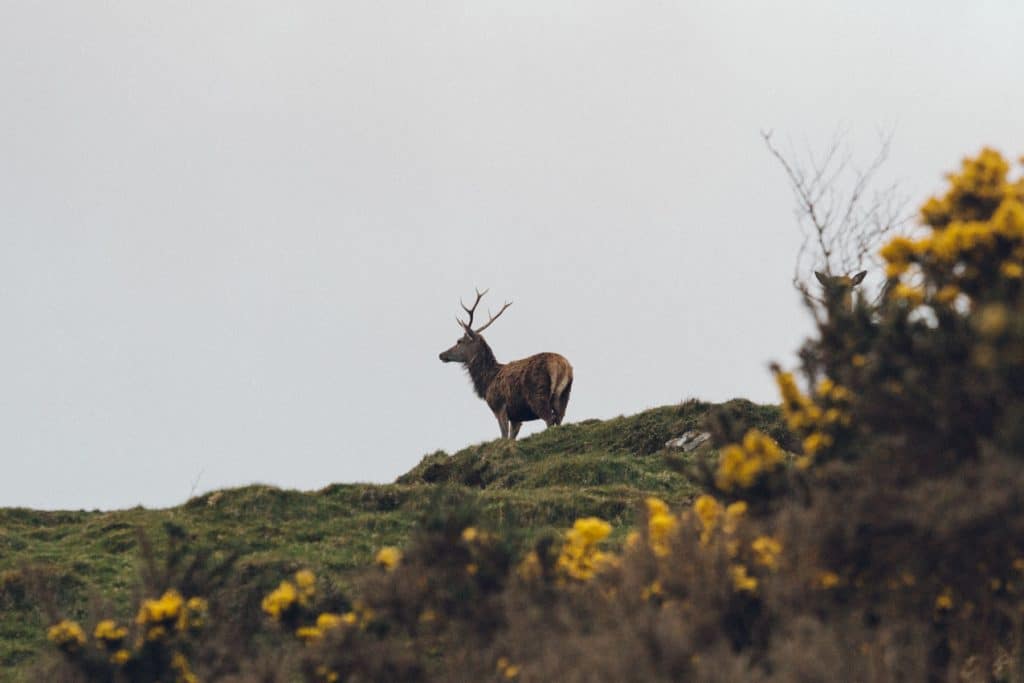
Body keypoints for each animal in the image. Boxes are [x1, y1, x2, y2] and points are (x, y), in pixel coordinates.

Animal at [439, 289, 574, 441]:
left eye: (459, 341)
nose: (441, 355)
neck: (486, 382)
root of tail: (562, 365)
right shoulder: (517, 417)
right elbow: (511, 438)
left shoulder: (499, 406)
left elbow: (504, 436)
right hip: (564, 395)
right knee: (559, 419)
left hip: (538, 395)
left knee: (549, 419)